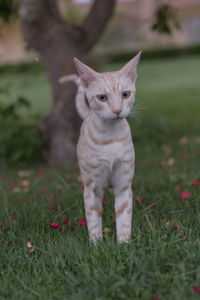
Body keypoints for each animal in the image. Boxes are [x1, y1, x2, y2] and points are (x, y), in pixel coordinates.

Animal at [60, 51, 141, 244]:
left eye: (125, 94)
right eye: (102, 97)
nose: (117, 110)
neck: (110, 138)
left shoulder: (124, 186)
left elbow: (124, 218)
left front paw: (123, 244)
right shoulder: (91, 188)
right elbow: (93, 219)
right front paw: (96, 244)